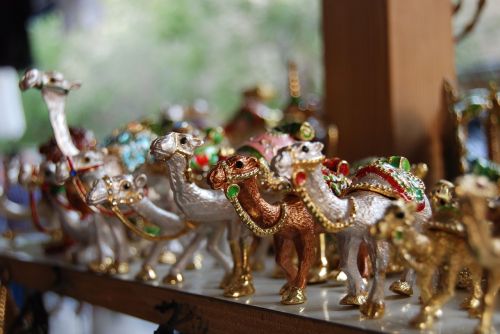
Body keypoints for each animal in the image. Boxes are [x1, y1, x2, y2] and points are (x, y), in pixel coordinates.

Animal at [149, 132, 254, 296]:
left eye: (183, 140)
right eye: (165, 135)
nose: (156, 143)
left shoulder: (232, 219)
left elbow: (237, 242)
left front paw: (238, 283)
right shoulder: (215, 221)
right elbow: (209, 245)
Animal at [272, 142, 432, 318]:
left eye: (305, 148)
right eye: (283, 149)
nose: (277, 160)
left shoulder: (376, 236)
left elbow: (379, 266)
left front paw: (373, 307)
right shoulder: (349, 236)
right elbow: (346, 264)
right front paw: (355, 297)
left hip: (420, 223)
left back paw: (406, 289)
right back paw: (402, 287)